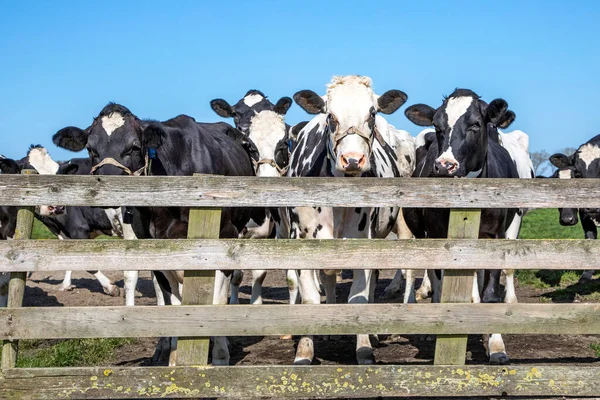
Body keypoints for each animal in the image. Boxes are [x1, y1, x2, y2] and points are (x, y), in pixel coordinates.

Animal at [52, 103, 256, 366]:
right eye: (90, 148)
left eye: (133, 146)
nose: (109, 187)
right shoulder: (156, 246)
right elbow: (172, 302)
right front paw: (174, 357)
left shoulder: (223, 238)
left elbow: (216, 299)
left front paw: (221, 356)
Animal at [288, 75, 410, 366]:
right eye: (330, 116)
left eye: (372, 113)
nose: (353, 160)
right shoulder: (302, 242)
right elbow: (310, 299)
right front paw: (304, 353)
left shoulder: (362, 242)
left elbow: (359, 298)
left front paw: (364, 350)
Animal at [404, 88, 524, 366]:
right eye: (437, 126)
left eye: (476, 124)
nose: (444, 165)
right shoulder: (439, 236)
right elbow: (448, 283)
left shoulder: (496, 235)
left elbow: (489, 293)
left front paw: (496, 346)